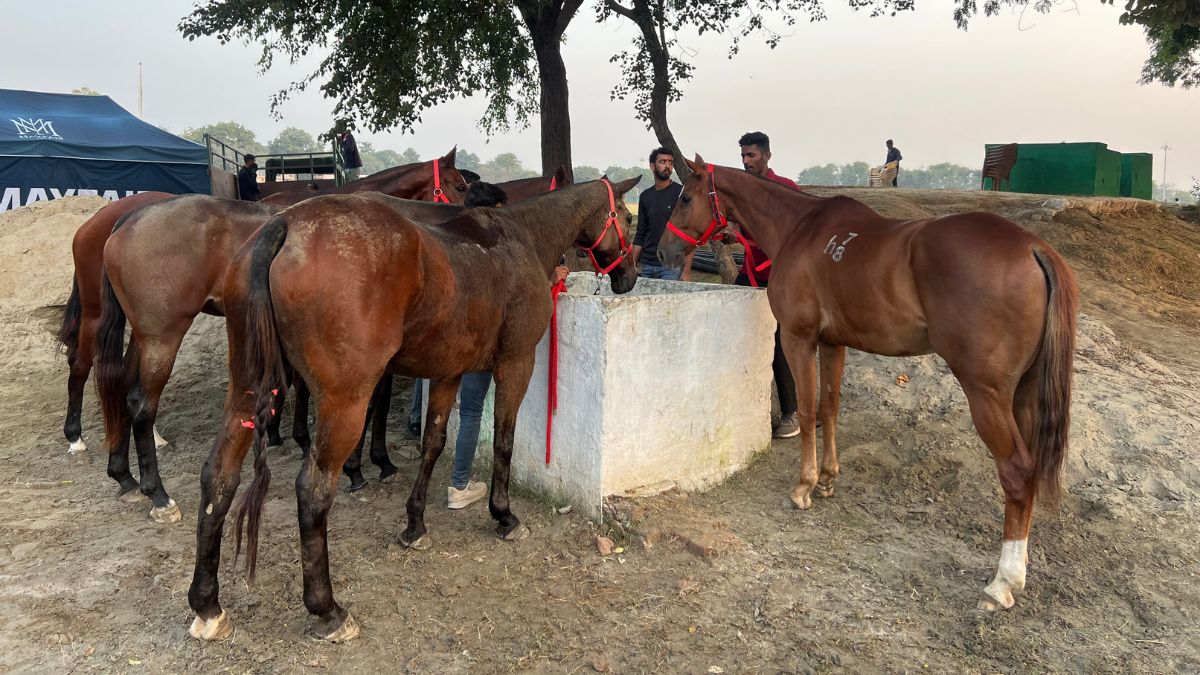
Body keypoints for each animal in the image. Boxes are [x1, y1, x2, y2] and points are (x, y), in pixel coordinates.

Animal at [94, 154, 468, 523]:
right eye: (461, 185)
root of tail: (131, 217)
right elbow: (377, 404)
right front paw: (366, 466)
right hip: (162, 338)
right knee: (142, 405)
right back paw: (158, 495)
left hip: (143, 337)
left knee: (123, 391)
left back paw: (125, 476)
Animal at [186, 176, 638, 638]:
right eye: (627, 217)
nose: (630, 277)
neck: (520, 237)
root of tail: (286, 225)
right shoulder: (516, 363)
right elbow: (504, 439)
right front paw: (504, 515)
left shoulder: (448, 373)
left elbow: (433, 444)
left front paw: (415, 524)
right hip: (344, 404)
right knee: (313, 492)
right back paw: (327, 609)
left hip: (246, 391)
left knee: (218, 478)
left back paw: (207, 604)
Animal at [657, 157, 1080, 610]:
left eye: (686, 197)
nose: (663, 250)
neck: (800, 229)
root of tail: (1032, 247)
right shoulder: (834, 343)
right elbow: (829, 408)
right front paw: (828, 478)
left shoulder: (798, 338)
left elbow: (806, 410)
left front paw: (804, 486)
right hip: (1023, 394)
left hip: (987, 394)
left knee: (1017, 471)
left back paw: (1003, 582)